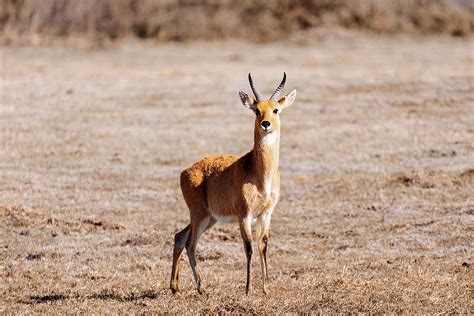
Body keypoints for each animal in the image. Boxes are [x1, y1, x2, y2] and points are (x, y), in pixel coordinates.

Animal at [170, 73, 296, 296]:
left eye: (276, 109)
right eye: (256, 110)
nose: (266, 124)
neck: (259, 174)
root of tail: (186, 171)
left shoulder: (266, 214)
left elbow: (263, 245)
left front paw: (266, 288)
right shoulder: (244, 215)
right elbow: (249, 247)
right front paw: (248, 289)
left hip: (209, 217)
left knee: (179, 237)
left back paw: (175, 287)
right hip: (200, 215)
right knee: (190, 244)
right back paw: (201, 288)